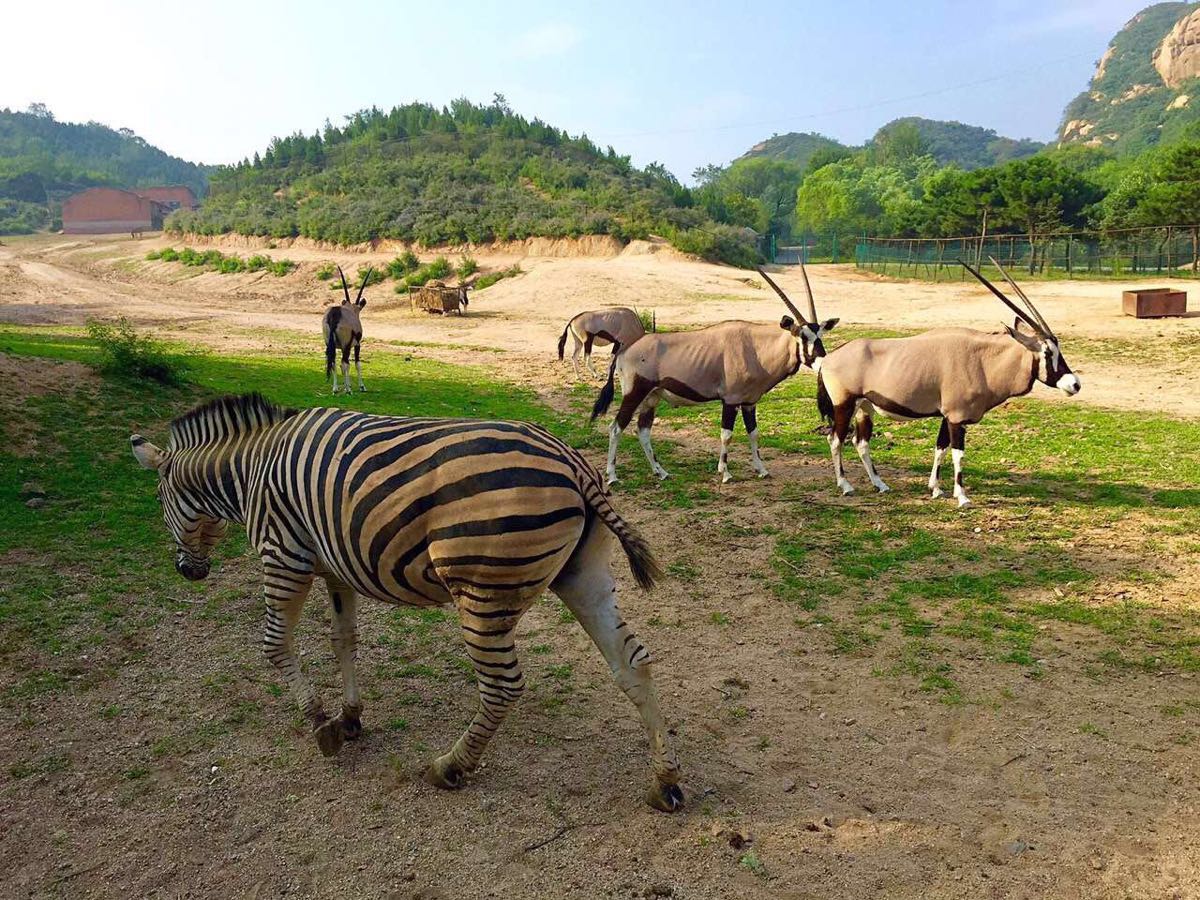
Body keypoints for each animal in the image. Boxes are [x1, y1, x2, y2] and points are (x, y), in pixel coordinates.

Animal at [131, 393, 686, 811]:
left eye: (157, 500)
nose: (187, 572)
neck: (250, 468)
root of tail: (573, 462)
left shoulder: (283, 555)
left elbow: (274, 644)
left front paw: (319, 721)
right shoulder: (336, 566)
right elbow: (343, 640)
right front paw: (350, 717)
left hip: (482, 593)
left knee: (502, 687)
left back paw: (450, 767)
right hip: (582, 576)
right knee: (632, 663)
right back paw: (665, 781)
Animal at [324, 266, 369, 396]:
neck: (350, 310)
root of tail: (335, 313)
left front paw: (344, 386)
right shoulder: (357, 344)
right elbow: (357, 363)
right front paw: (361, 386)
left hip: (329, 343)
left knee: (333, 362)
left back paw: (335, 389)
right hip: (346, 345)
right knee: (345, 363)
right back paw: (349, 390)